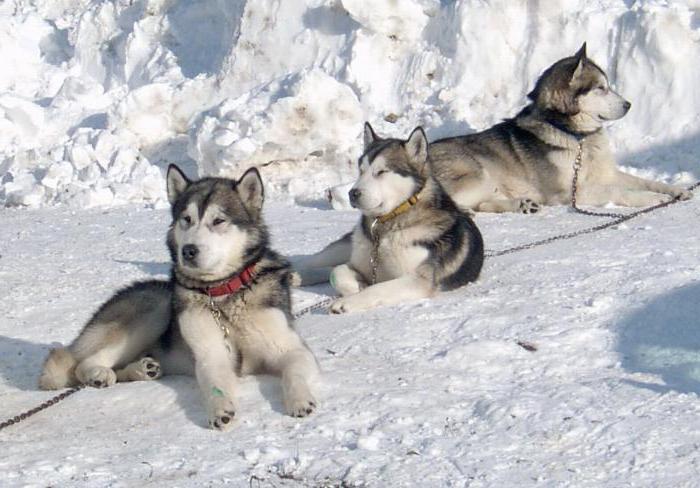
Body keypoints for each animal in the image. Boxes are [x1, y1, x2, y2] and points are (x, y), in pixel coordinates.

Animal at [39, 165, 318, 430]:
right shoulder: (211, 354)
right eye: (186, 219)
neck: (223, 293)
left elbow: (294, 373)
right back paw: (98, 373)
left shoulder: (291, 348)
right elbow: (215, 384)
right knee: (82, 363)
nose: (189, 250)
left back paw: (142, 369)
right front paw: (220, 410)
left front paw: (300, 400)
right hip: (157, 306)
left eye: (219, 220)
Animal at [292, 126, 484, 312]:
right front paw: (357, 285)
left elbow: (375, 287)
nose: (352, 193)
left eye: (381, 171)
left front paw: (350, 300)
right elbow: (337, 273)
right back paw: (296, 274)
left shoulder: (418, 280)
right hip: (347, 245)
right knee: (318, 261)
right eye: (361, 171)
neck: (388, 224)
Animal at [430, 43, 692, 214]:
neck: (577, 137)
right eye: (601, 88)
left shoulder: (608, 174)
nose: (629, 104)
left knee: (484, 204)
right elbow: (616, 192)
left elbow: (645, 181)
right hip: (478, 176)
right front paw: (653, 198)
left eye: (607, 86)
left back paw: (522, 205)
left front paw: (675, 190)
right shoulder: (568, 193)